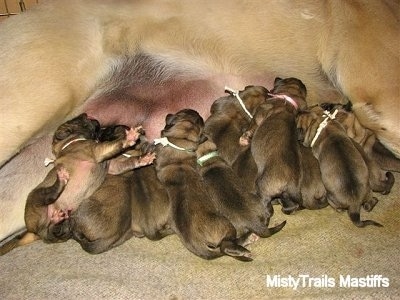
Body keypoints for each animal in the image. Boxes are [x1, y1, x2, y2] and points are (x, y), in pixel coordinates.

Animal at [155, 109, 252, 262]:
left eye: (182, 112)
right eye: (199, 121)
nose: (198, 113)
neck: (178, 142)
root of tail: (197, 244)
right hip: (226, 226)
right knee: (225, 246)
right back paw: (245, 244)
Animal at [239, 77, 308, 213]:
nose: (277, 77)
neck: (287, 101)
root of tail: (291, 185)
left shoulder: (259, 114)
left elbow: (252, 125)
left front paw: (245, 138)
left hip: (262, 186)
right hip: (287, 196)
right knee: (291, 206)